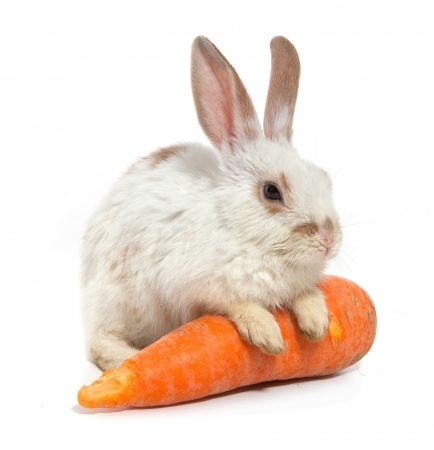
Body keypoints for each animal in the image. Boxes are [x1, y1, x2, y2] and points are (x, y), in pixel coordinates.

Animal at [82, 37, 342, 370]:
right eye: (272, 191)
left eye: (324, 178)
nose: (329, 239)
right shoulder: (197, 286)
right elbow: (237, 303)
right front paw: (267, 334)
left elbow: (305, 295)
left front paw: (317, 323)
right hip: (123, 301)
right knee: (99, 342)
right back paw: (129, 358)